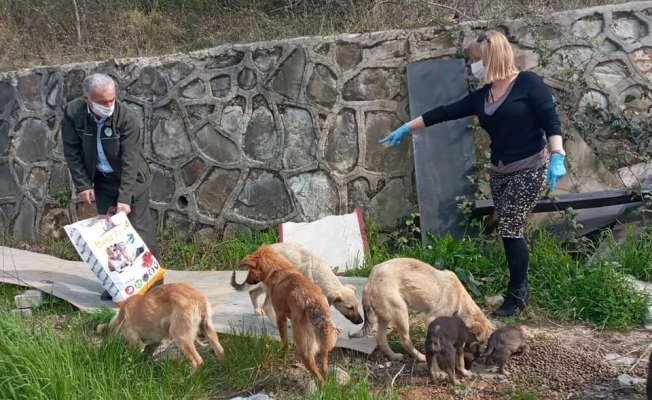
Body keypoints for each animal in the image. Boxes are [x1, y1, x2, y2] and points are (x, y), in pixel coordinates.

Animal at [96, 282, 226, 373]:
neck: (120, 319)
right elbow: (146, 353)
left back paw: (188, 379)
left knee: (197, 361)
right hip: (207, 328)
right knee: (220, 351)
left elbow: (128, 355)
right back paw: (221, 368)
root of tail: (198, 298)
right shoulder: (155, 341)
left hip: (179, 335)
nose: (103, 352)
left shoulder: (134, 341)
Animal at [230, 242, 363, 325]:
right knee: (266, 305)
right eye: (349, 308)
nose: (361, 321)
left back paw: (257, 310)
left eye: (357, 305)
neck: (318, 271)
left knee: (253, 292)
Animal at [235, 244, 340, 387]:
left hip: (303, 346)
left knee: (317, 374)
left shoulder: (280, 317)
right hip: (324, 340)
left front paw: (282, 356)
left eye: (249, 270)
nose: (247, 280)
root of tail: (312, 303)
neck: (278, 269)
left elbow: (284, 343)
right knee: (324, 367)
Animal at [348, 258, 495, 363]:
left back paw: (395, 356)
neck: (459, 300)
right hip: (401, 312)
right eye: (476, 342)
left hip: (385, 316)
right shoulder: (431, 319)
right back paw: (421, 357)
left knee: (381, 339)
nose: (479, 356)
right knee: (404, 340)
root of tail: (369, 282)